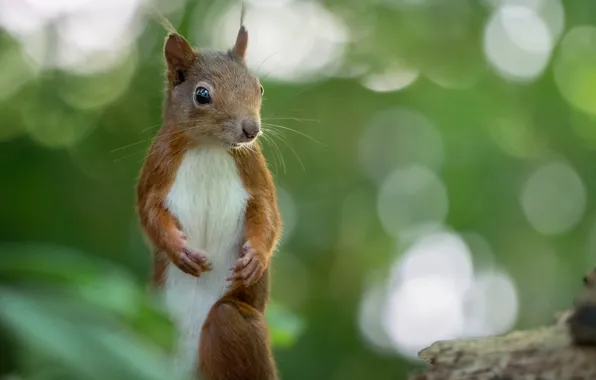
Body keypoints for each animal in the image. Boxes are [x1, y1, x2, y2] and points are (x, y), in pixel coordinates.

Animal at [136, 14, 282, 380]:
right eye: (202, 94)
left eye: (259, 88)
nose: (251, 130)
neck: (210, 147)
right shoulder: (156, 170)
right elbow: (148, 212)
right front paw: (179, 250)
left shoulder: (254, 171)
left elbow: (268, 214)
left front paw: (256, 257)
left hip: (233, 325)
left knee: (224, 322)